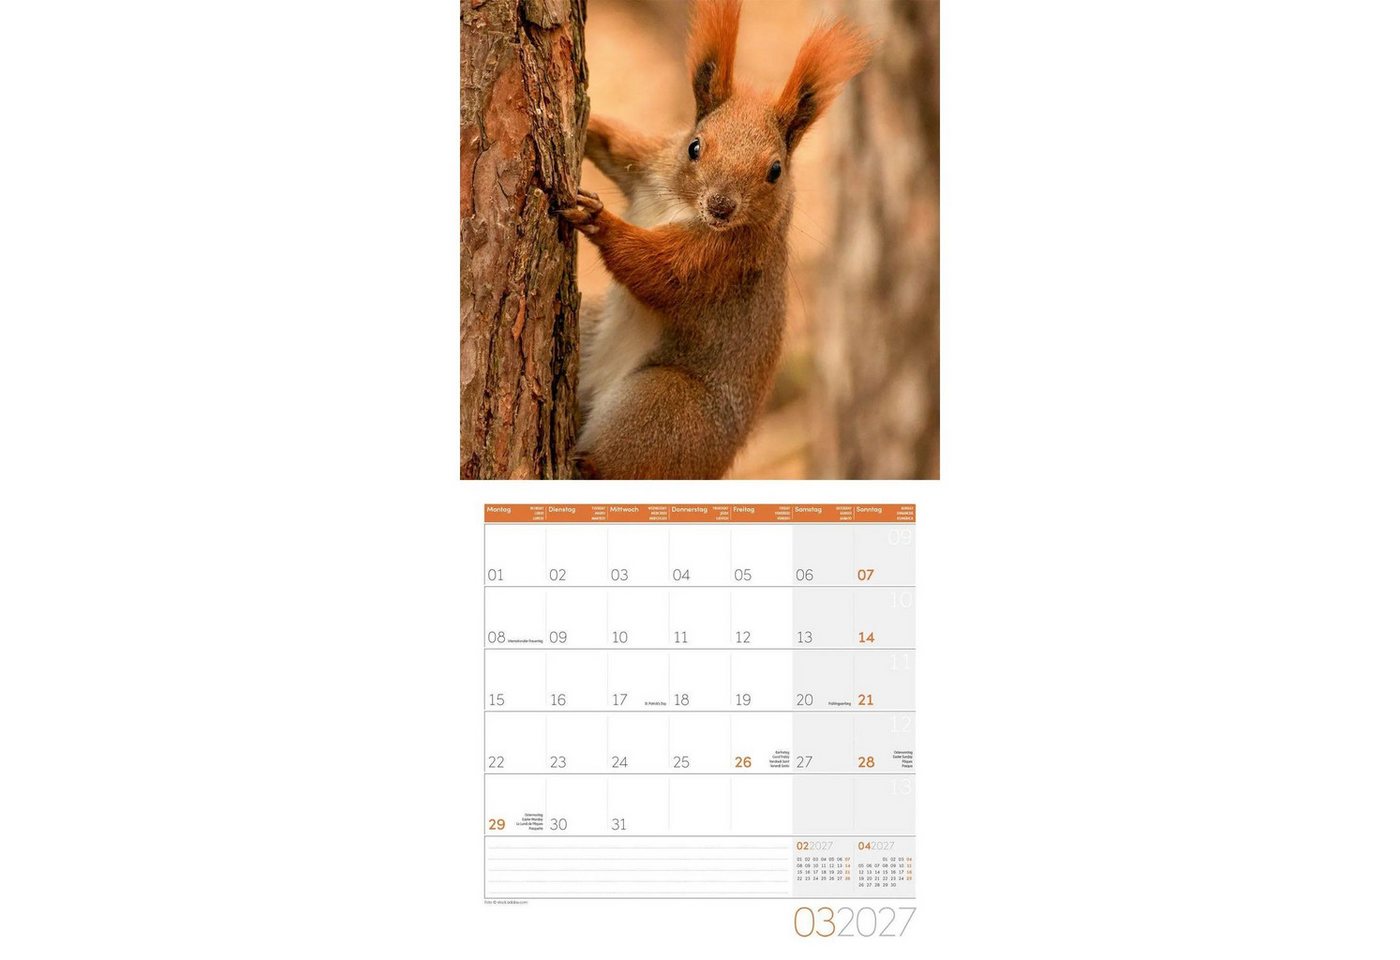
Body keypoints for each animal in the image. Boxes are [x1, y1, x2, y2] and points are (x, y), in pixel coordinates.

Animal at [557, 0, 873, 479]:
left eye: (775, 170)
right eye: (694, 146)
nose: (722, 207)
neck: (683, 204)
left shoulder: (724, 259)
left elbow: (659, 272)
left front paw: (598, 219)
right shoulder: (650, 162)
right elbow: (613, 142)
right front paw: (589, 121)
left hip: (668, 406)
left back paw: (583, 466)